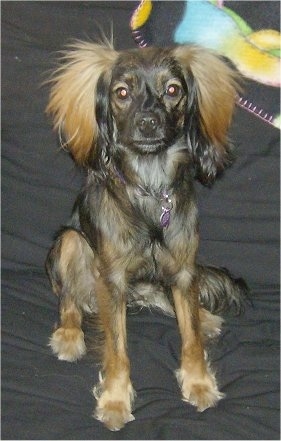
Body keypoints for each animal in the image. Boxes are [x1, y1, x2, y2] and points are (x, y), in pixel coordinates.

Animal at [44, 42, 246, 430]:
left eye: (173, 90)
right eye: (122, 93)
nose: (147, 122)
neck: (151, 189)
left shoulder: (183, 270)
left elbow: (190, 338)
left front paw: (198, 382)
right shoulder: (112, 280)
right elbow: (117, 350)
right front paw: (115, 400)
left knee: (165, 300)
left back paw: (205, 317)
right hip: (71, 242)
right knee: (70, 300)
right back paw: (69, 335)